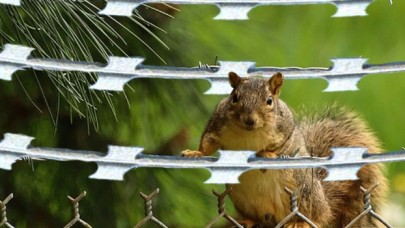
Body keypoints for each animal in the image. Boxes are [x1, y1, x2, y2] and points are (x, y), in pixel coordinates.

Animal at [181, 72, 386, 227]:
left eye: (269, 101)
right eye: (234, 98)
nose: (250, 120)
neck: (248, 134)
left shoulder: (286, 131)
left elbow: (280, 147)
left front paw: (266, 154)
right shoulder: (216, 124)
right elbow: (208, 142)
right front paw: (194, 152)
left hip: (305, 192)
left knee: (317, 218)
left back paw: (301, 222)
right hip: (240, 198)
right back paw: (247, 220)